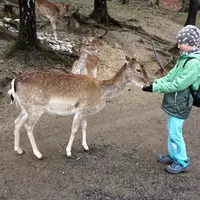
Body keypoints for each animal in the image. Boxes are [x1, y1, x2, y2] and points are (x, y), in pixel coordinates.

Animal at [7, 56, 149, 159]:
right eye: (138, 69)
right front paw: (68, 152)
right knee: (28, 126)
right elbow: (74, 129)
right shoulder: (81, 109)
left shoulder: (86, 111)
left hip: (25, 108)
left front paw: (86, 147)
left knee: (17, 122)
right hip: (35, 108)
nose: (148, 83)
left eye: (144, 67)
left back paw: (18, 150)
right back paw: (38, 154)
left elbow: (84, 126)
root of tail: (14, 81)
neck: (101, 92)